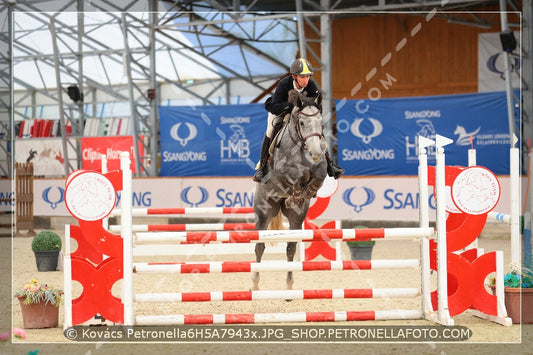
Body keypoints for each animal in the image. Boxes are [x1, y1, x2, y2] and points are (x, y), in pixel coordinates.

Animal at [251, 90, 326, 294]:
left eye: (321, 123)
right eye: (302, 123)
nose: (316, 152)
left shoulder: (320, 169)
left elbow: (320, 175)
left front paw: (308, 192)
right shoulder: (281, 173)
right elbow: (292, 177)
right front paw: (297, 193)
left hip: (295, 218)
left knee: (291, 247)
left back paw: (289, 287)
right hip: (264, 211)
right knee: (259, 247)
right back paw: (255, 283)